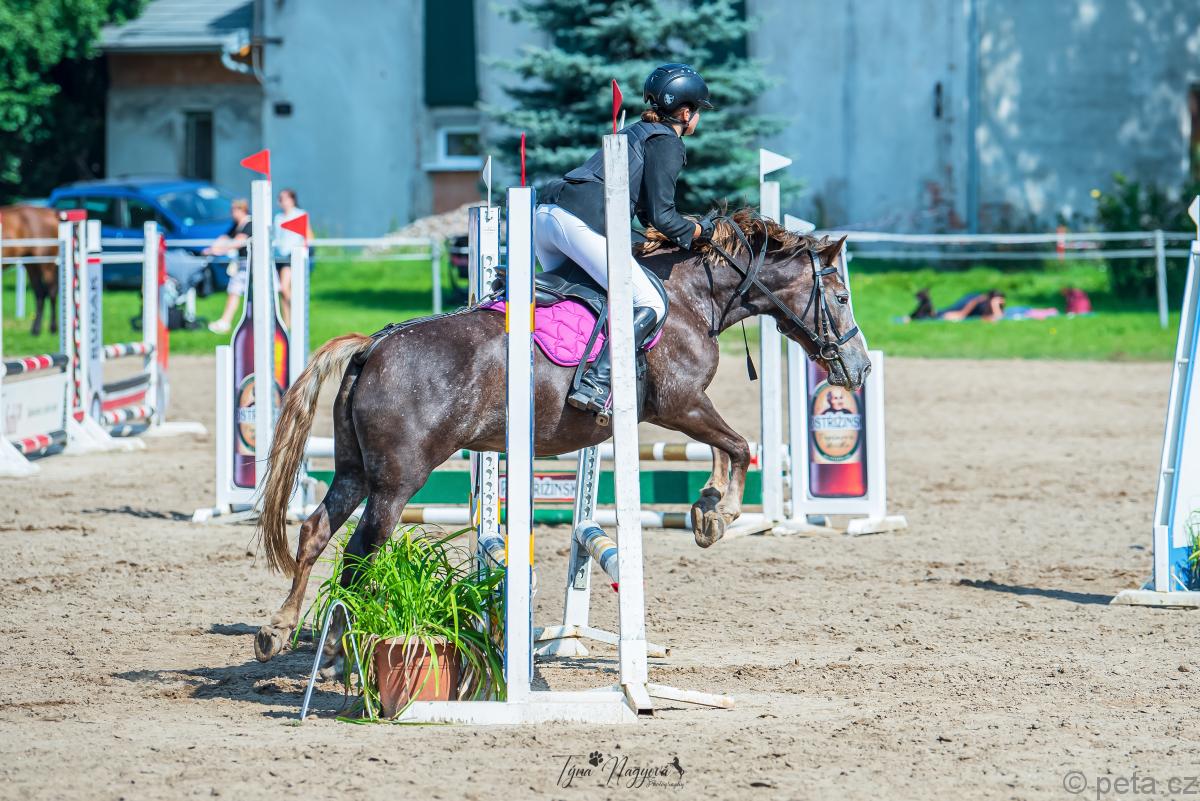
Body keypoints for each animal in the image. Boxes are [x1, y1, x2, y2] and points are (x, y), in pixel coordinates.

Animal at [0, 205, 60, 336]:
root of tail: (51, 213)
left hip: (46, 263)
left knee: (51, 292)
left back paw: (53, 329)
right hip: (31, 264)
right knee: (40, 293)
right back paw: (35, 330)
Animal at [251, 210, 872, 668]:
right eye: (842, 298)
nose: (860, 369)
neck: (692, 297)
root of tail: (372, 346)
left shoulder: (683, 410)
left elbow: (729, 447)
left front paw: (708, 507)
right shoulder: (681, 405)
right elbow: (740, 445)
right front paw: (718, 514)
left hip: (355, 470)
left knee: (314, 531)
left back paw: (277, 631)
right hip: (397, 482)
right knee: (358, 553)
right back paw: (336, 645)